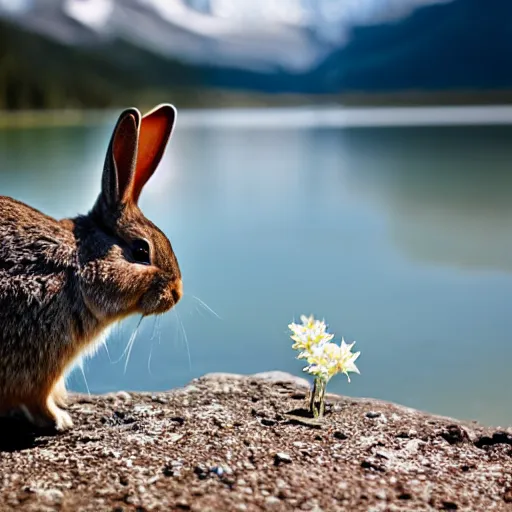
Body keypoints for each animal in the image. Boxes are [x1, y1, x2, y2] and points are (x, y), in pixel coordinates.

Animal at [0, 102, 182, 430]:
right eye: (141, 251)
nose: (176, 294)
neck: (79, 269)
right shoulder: (37, 364)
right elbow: (38, 399)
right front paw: (61, 420)